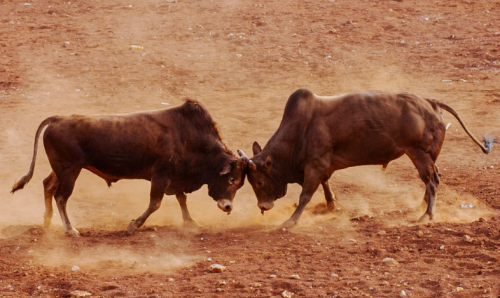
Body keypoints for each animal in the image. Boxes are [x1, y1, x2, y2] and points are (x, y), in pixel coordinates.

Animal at [12, 100, 250, 237]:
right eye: (232, 179)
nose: (228, 207)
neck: (190, 137)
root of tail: (58, 119)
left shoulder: (175, 178)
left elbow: (181, 199)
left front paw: (191, 221)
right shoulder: (161, 176)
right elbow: (155, 203)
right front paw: (133, 226)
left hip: (63, 170)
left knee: (48, 185)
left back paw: (47, 220)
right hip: (70, 171)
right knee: (61, 196)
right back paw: (70, 229)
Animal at [246, 88, 496, 228]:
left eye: (259, 182)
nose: (263, 207)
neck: (300, 129)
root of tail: (431, 103)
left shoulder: (315, 165)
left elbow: (306, 195)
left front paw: (291, 221)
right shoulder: (322, 166)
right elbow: (325, 184)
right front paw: (330, 205)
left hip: (419, 154)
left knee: (432, 181)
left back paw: (427, 215)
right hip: (425, 156)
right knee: (433, 178)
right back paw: (423, 205)